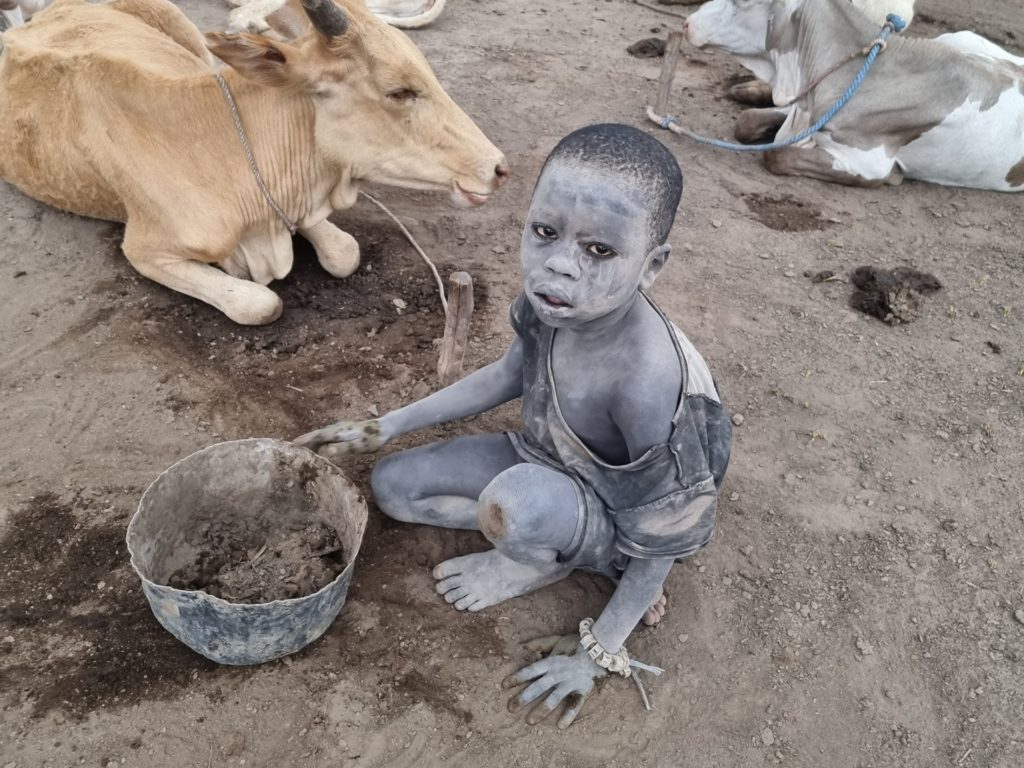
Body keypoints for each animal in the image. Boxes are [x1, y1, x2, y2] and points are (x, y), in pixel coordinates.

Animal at [684, 0, 1024, 191]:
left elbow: (776, 154)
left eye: (741, 1)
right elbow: (747, 121)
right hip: (958, 37)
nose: (687, 22)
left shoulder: (869, 162)